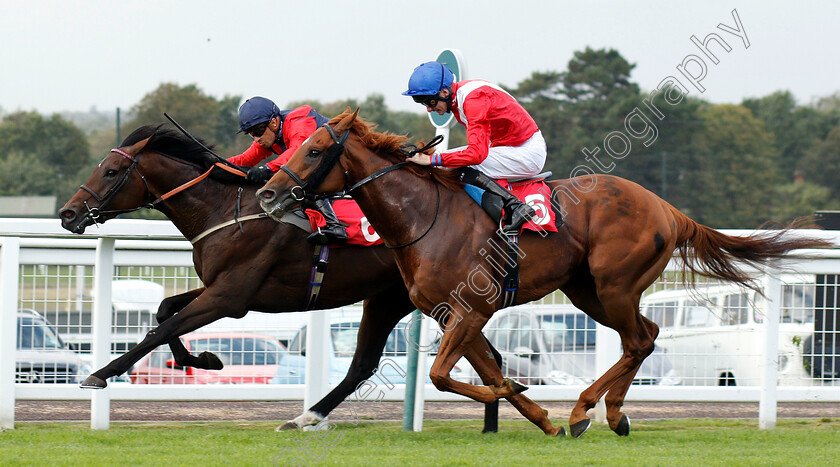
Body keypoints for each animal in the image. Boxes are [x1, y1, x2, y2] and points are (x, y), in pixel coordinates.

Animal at [55, 124, 560, 436]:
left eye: (112, 171)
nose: (68, 214)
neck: (226, 212)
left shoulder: (230, 296)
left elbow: (160, 329)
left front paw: (99, 375)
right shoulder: (222, 288)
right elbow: (164, 313)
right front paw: (204, 359)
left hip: (409, 298)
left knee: (388, 362)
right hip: (404, 299)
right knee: (461, 356)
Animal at [258, 109, 832, 438]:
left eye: (313, 150)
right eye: (291, 147)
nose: (266, 193)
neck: (424, 217)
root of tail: (667, 208)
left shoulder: (473, 308)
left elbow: (446, 376)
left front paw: (517, 396)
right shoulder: (453, 315)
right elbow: (481, 369)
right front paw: (535, 413)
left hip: (615, 285)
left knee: (637, 341)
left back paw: (586, 411)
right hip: (587, 291)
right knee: (645, 336)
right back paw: (608, 413)